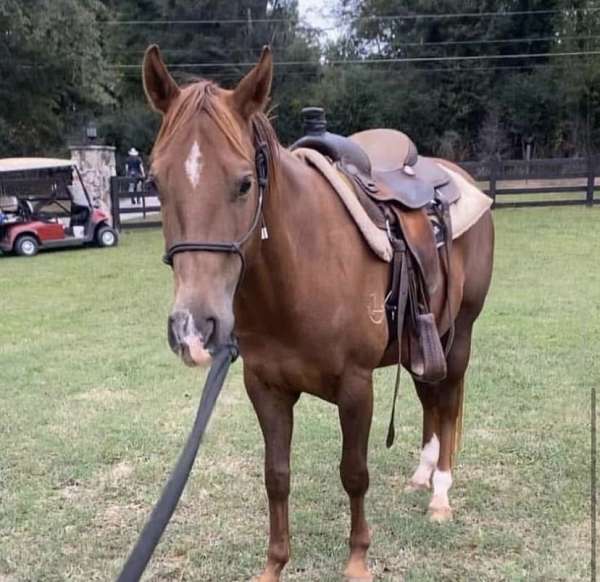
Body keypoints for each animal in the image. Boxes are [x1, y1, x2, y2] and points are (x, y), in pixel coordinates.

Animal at [141, 43, 492, 580]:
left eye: (245, 183)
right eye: (156, 182)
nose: (193, 328)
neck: (299, 273)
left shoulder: (356, 386)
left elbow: (354, 473)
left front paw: (358, 559)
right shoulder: (265, 387)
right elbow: (276, 476)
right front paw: (274, 564)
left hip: (461, 333)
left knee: (448, 402)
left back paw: (440, 495)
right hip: (423, 338)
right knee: (430, 399)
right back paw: (422, 475)